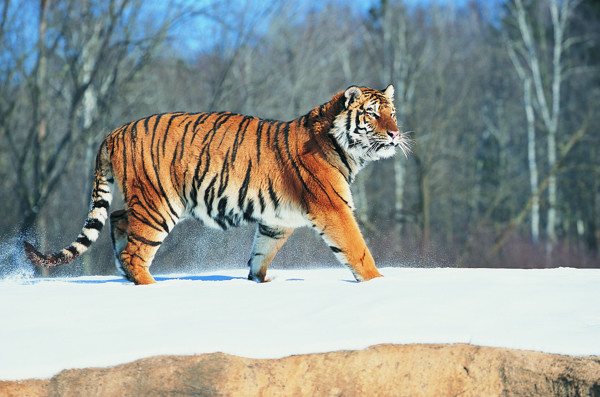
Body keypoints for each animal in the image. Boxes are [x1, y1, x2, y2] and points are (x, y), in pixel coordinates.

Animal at [22, 85, 408, 284]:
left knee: (117, 219)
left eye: (393, 113)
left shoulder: (277, 222)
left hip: (145, 203)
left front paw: (259, 282)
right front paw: (378, 283)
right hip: (158, 205)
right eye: (372, 114)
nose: (395, 133)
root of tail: (113, 132)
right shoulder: (334, 208)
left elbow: (261, 253)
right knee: (135, 250)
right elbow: (357, 249)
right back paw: (149, 286)